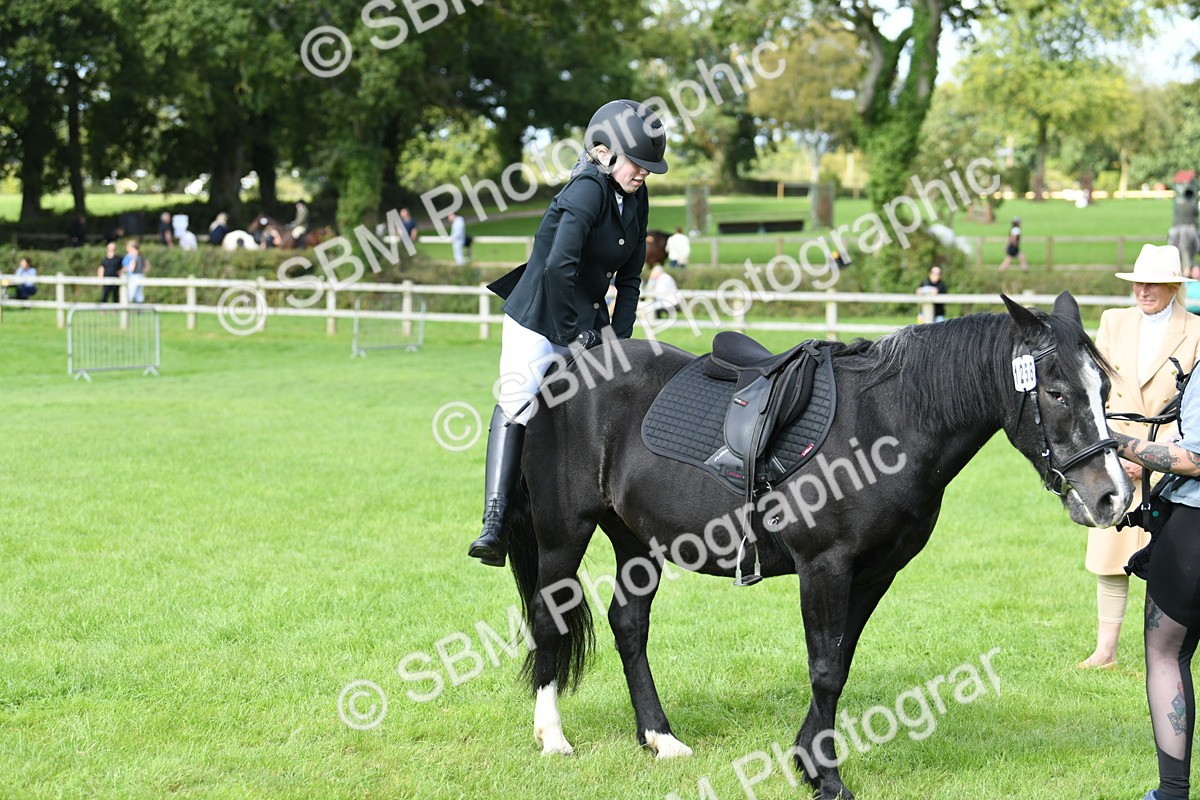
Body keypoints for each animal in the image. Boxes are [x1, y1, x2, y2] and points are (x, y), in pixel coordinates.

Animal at [494, 292, 1130, 799]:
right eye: (1056, 392)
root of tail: (565, 370)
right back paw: (553, 736)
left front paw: (806, 759)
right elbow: (824, 668)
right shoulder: (825, 568)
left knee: (629, 624)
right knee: (550, 620)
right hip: (564, 533)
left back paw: (659, 737)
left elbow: (840, 662)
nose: (1113, 496)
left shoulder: (874, 573)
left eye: (1104, 387)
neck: (886, 424)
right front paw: (826, 776)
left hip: (637, 542)